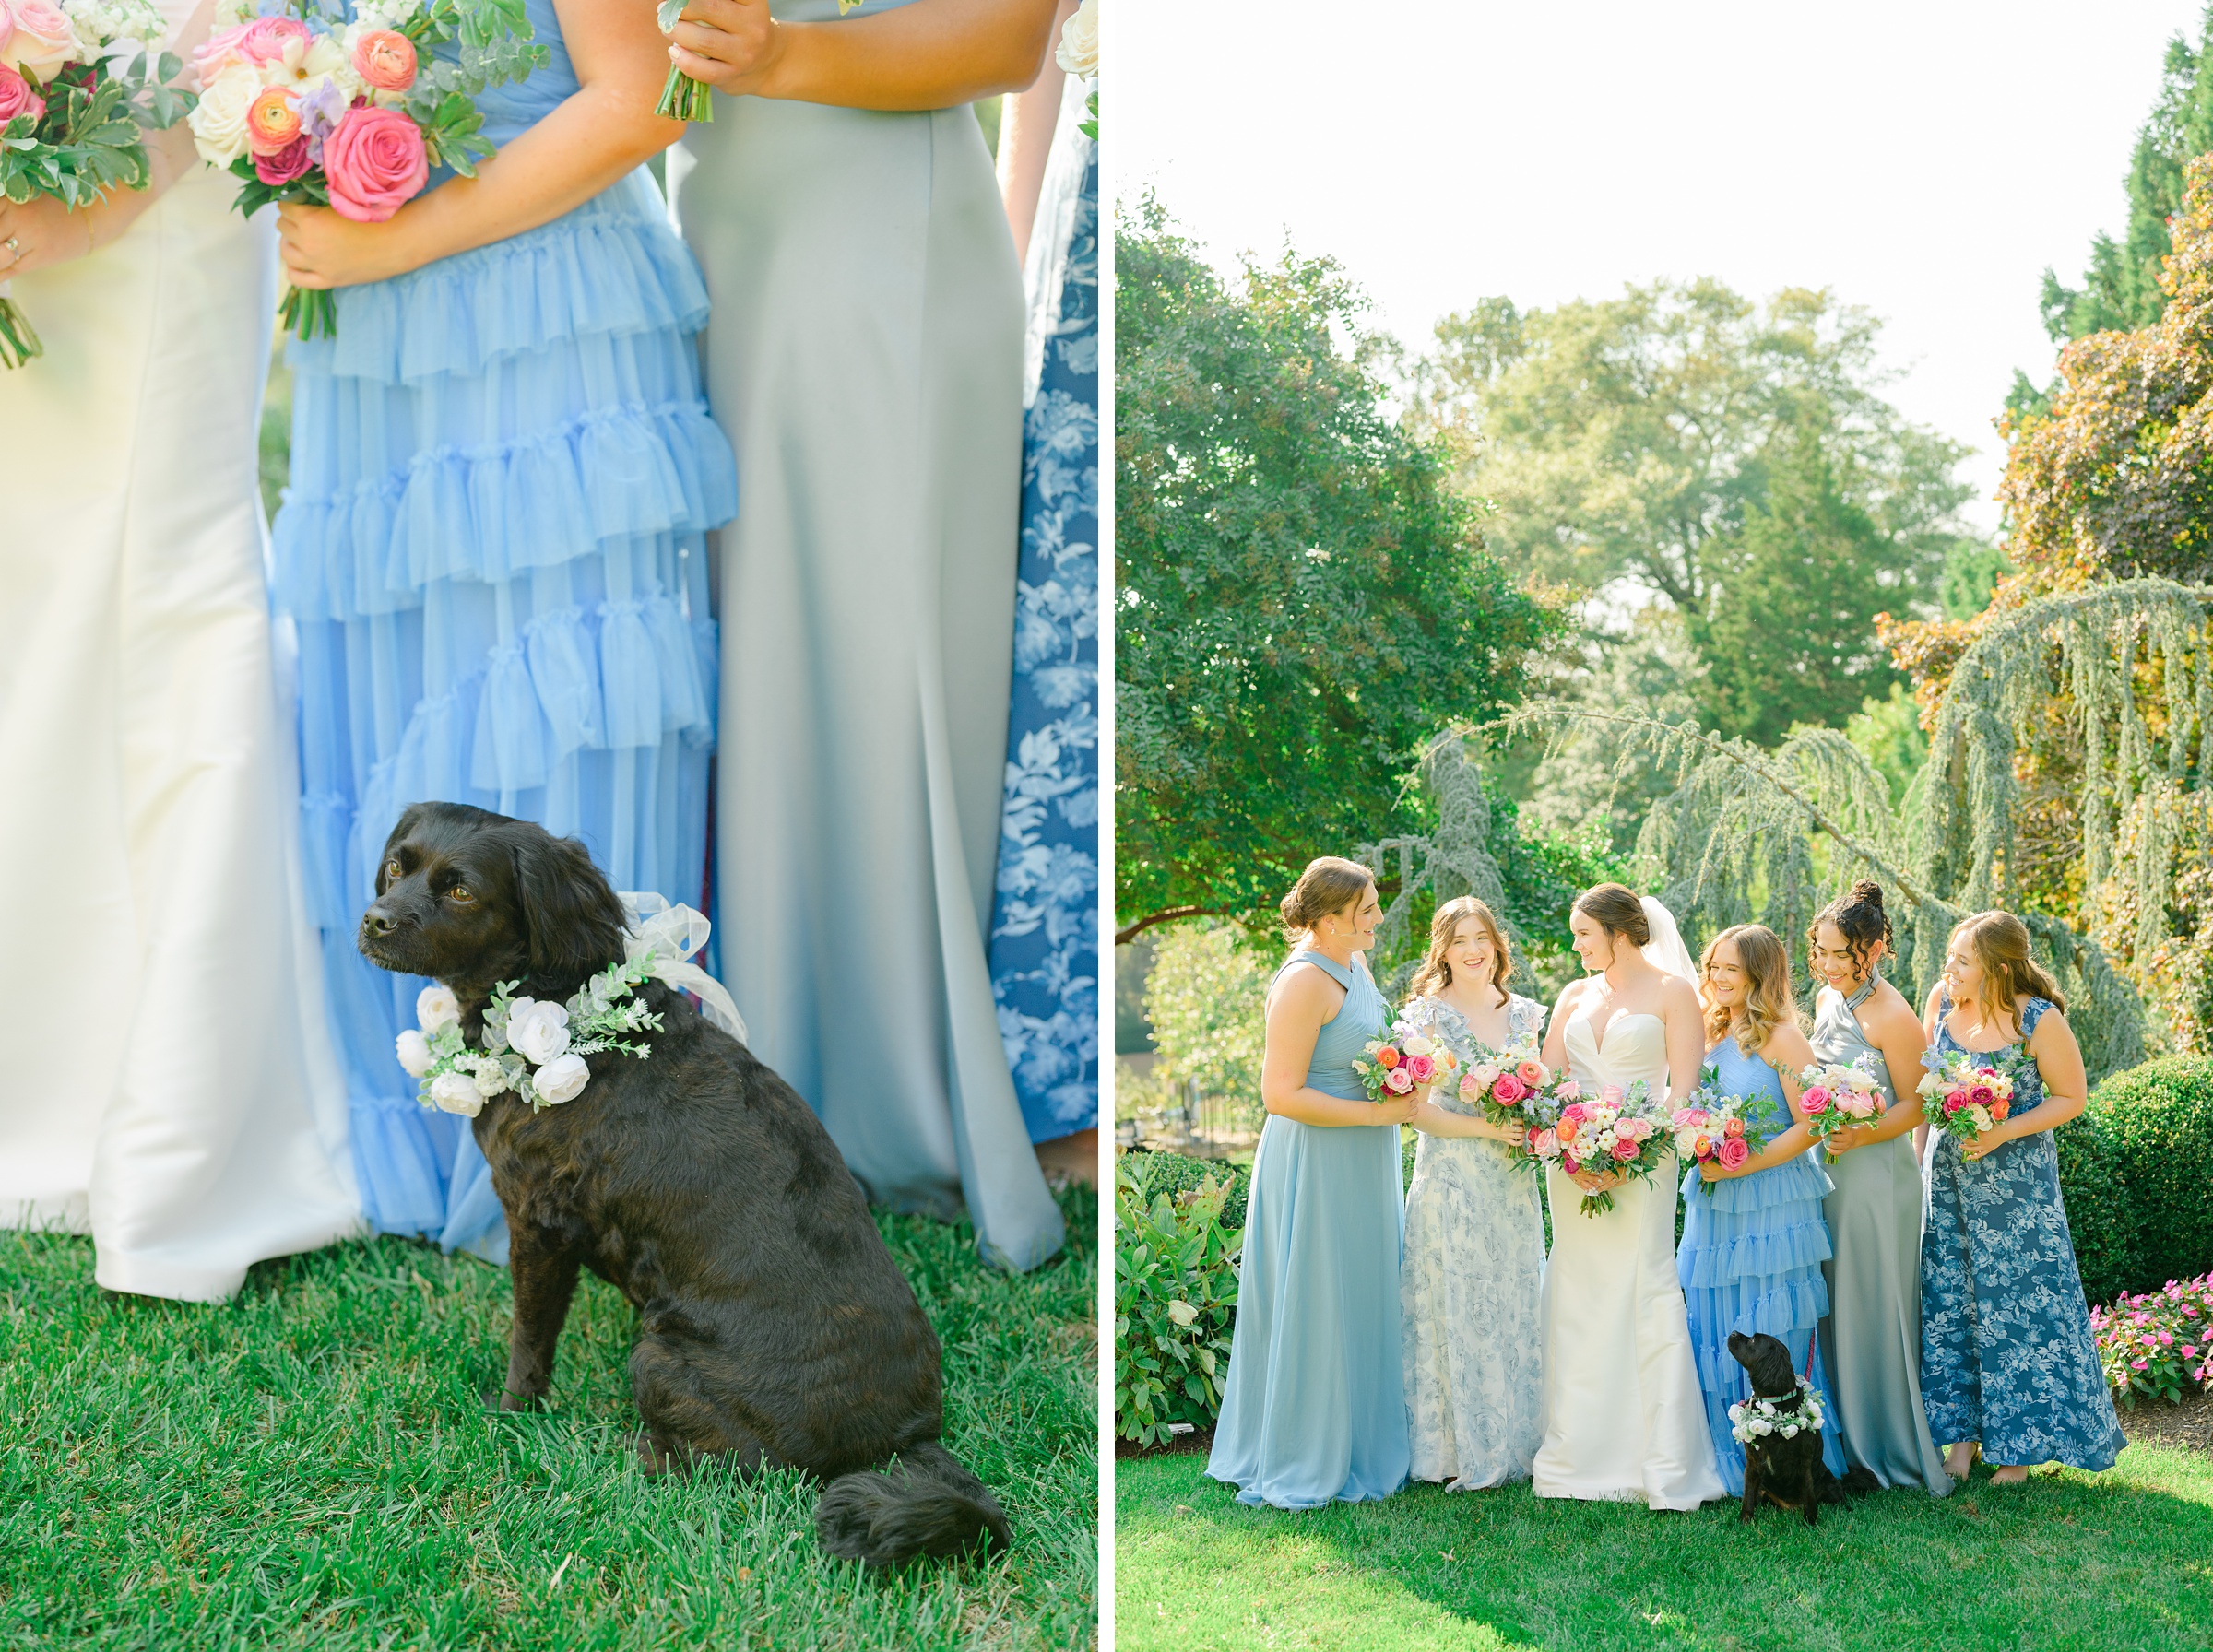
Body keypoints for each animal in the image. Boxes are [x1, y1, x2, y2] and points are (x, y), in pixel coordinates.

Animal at [358, 809, 1013, 1575]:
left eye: (461, 891)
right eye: (397, 868)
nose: (374, 919)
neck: (557, 998)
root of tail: (906, 1435)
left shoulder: (537, 1223)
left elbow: (530, 1339)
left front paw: (511, 1413)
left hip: (658, 1357)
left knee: (736, 1467)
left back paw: (639, 1455)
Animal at [1717, 1327, 1859, 1521]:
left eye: (1753, 1340)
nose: (1733, 1332)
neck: (1772, 1407)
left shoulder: (1803, 1463)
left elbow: (1809, 1497)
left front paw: (1810, 1522)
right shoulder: (1752, 1462)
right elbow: (1747, 1495)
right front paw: (1745, 1521)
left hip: (1830, 1484)